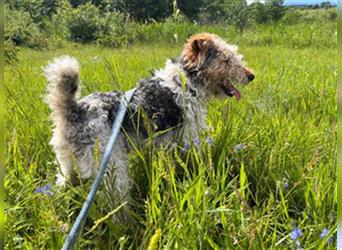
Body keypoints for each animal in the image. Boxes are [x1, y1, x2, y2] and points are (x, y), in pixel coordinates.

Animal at [44, 32, 254, 205]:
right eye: (226, 59)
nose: (251, 76)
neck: (185, 82)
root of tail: (73, 110)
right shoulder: (190, 137)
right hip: (111, 170)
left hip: (68, 168)